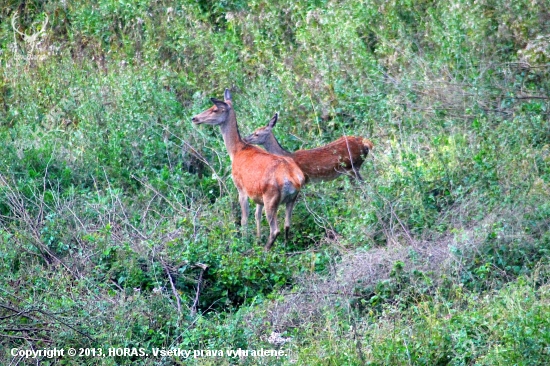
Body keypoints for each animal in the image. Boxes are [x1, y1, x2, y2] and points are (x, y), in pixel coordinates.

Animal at [193, 89, 306, 250]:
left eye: (215, 109)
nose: (194, 118)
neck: (236, 151)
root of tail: (294, 179)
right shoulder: (257, 194)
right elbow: (256, 215)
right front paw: (257, 238)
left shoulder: (241, 187)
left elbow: (244, 218)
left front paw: (244, 241)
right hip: (291, 199)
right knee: (287, 225)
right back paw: (284, 247)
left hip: (271, 198)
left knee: (275, 229)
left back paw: (265, 250)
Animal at [244, 113, 374, 183]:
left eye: (256, 133)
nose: (245, 138)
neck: (288, 156)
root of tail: (365, 143)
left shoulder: (303, 178)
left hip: (352, 167)